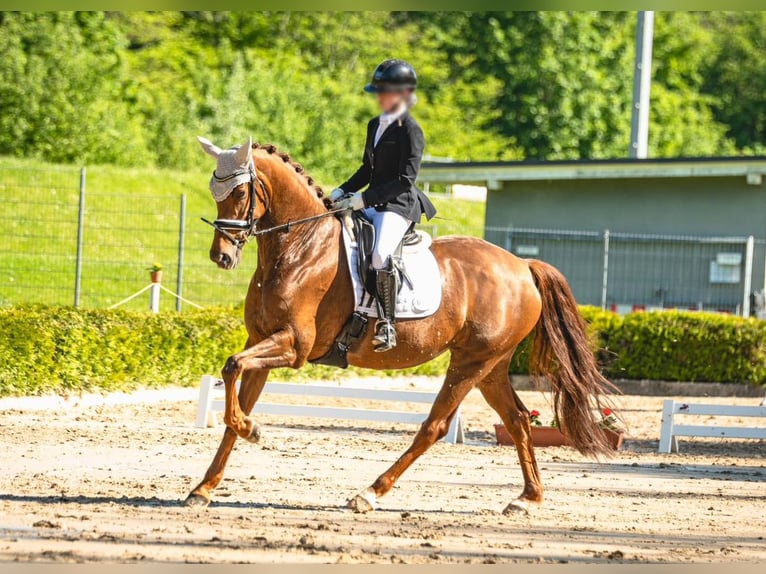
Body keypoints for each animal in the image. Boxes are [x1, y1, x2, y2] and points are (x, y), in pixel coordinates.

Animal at [188, 137, 616, 516]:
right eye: (214, 190)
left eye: (241, 193)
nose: (221, 257)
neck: (300, 248)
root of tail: (523, 266)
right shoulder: (261, 339)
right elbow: (235, 397)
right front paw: (204, 488)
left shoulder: (294, 346)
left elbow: (232, 367)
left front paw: (253, 431)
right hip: (491, 365)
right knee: (518, 421)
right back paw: (527, 498)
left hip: (470, 363)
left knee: (435, 426)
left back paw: (369, 494)